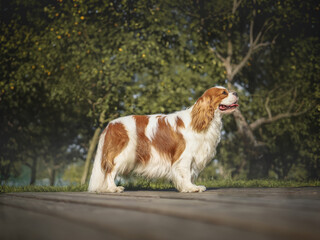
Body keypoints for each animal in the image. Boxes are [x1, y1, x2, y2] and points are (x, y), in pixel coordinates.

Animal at [89, 86, 239, 193]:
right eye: (224, 93)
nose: (237, 92)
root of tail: (110, 125)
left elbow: (189, 173)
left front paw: (189, 187)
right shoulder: (185, 156)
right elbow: (185, 173)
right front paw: (191, 188)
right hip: (123, 154)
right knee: (110, 171)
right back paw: (113, 188)